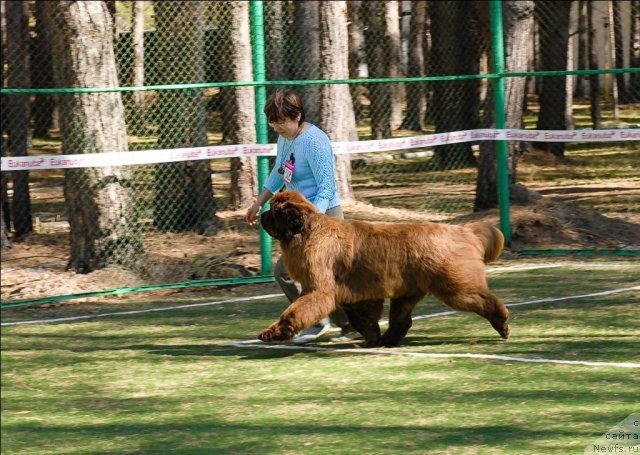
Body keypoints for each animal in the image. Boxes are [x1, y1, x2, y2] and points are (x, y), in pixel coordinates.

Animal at [258, 191, 508, 348]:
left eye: (274, 211)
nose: (261, 214)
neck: (308, 231)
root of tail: (464, 231)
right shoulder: (355, 294)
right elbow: (362, 319)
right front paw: (373, 337)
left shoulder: (319, 290)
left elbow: (295, 311)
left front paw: (275, 332)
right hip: (408, 291)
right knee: (402, 319)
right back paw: (388, 339)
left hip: (454, 286)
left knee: (484, 300)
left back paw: (502, 323)